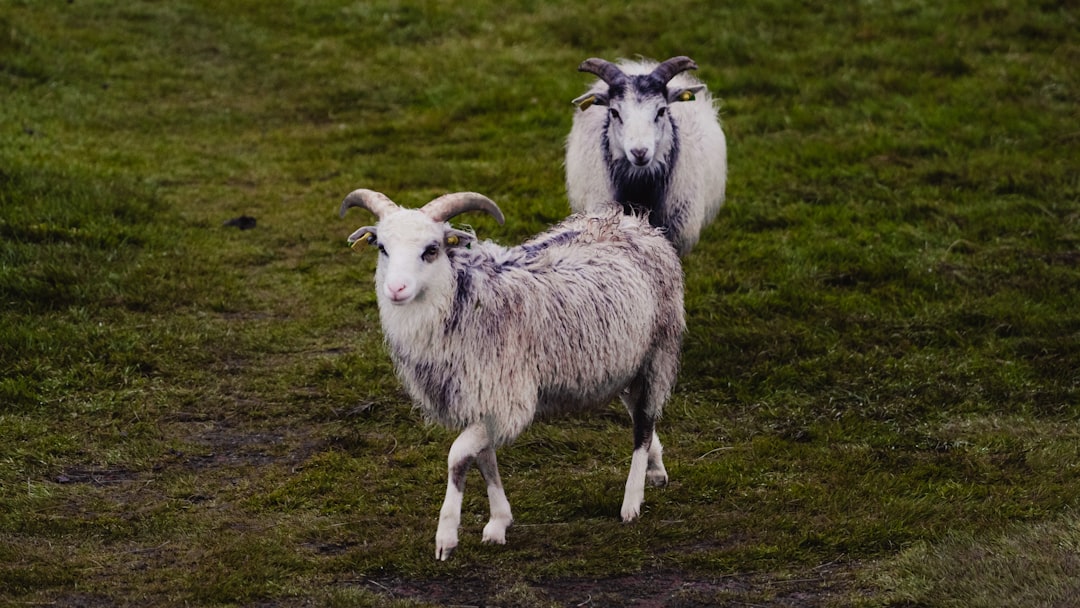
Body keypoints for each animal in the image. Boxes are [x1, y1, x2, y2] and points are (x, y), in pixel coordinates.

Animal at [336, 188, 682, 561]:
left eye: (431, 249)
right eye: (382, 248)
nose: (396, 289)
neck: (465, 300)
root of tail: (634, 222)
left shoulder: (505, 397)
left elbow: (458, 457)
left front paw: (446, 537)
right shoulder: (479, 398)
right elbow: (484, 459)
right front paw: (499, 522)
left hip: (657, 351)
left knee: (642, 424)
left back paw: (631, 502)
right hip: (622, 361)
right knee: (639, 413)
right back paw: (656, 469)